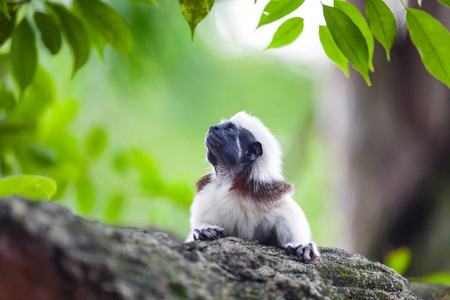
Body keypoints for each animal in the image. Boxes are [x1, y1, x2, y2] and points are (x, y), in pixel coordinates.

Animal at [186, 111, 320, 262]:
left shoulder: (267, 193)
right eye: (220, 126)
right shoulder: (207, 192)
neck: (229, 179)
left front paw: (301, 245)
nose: (212, 128)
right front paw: (204, 231)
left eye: (229, 129)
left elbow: (289, 213)